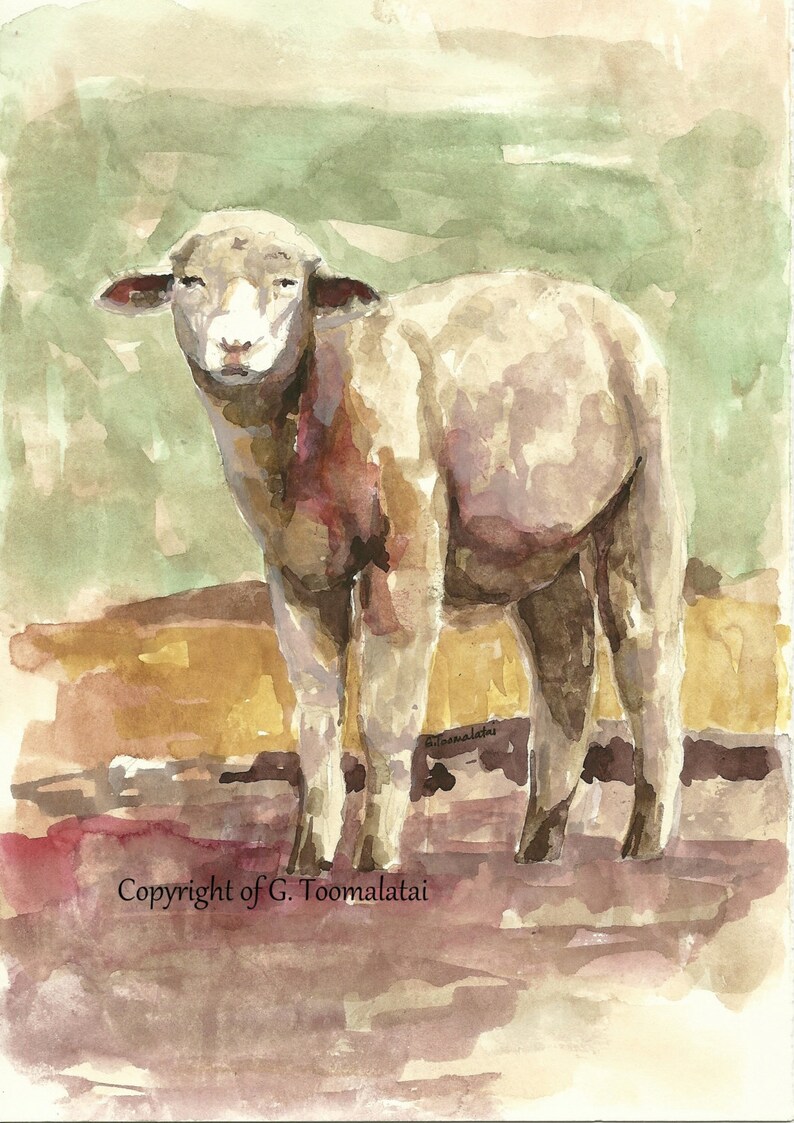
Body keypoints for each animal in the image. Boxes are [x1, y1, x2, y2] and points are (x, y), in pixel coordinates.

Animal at [97, 209, 685, 875]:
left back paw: (645, 843)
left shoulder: (405, 553)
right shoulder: (297, 572)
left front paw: (374, 859)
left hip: (645, 497)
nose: (235, 346)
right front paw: (307, 860)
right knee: (566, 670)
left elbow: (385, 714)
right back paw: (538, 848)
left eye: (288, 283)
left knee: (647, 657)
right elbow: (317, 715)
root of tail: (602, 305)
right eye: (190, 280)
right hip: (538, 548)